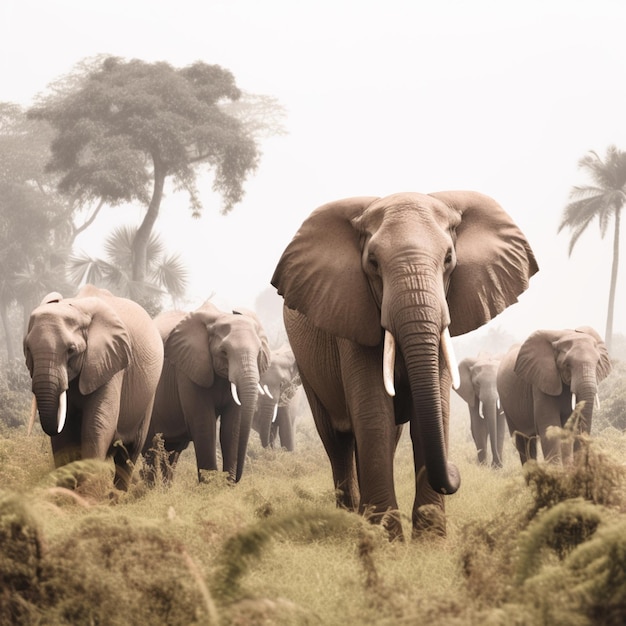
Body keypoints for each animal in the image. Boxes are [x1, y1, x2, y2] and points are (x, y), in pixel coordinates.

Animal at [23, 286, 163, 490]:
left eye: (71, 350)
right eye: (27, 349)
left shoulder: (110, 362)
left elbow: (97, 425)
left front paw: (86, 494)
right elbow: (63, 435)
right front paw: (65, 494)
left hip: (149, 395)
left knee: (128, 453)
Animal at [144, 300, 270, 480]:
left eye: (259, 352)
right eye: (224, 352)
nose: (237, 478)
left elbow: (231, 429)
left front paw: (226, 484)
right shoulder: (189, 370)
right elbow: (205, 427)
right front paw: (212, 484)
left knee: (172, 450)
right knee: (149, 448)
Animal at [270, 190, 540, 536]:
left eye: (449, 259)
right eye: (373, 263)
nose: (456, 470)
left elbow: (431, 414)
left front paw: (429, 541)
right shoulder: (352, 314)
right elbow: (374, 414)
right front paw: (388, 539)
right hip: (305, 364)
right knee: (337, 439)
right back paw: (350, 522)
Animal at [492, 326, 608, 464]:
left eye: (597, 363)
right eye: (567, 365)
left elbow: (569, 428)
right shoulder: (542, 381)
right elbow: (550, 426)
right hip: (507, 405)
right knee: (522, 438)